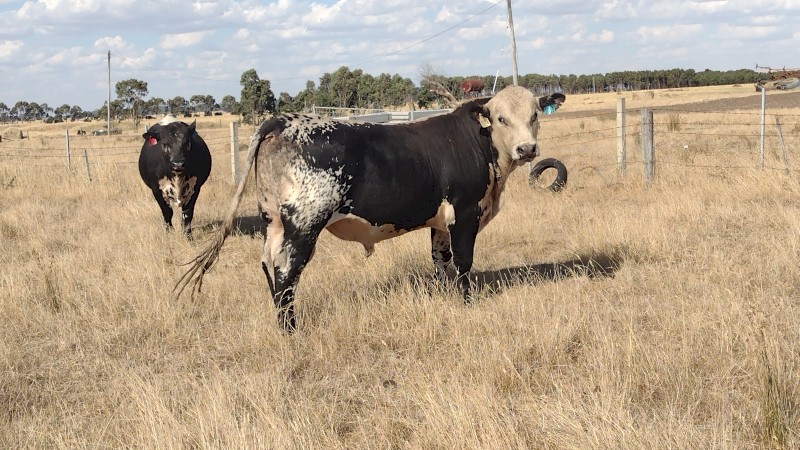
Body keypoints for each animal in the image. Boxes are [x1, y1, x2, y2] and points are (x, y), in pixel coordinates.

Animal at [175, 85, 566, 332]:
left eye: (535, 114)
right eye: (500, 118)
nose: (527, 150)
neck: (480, 146)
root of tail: (283, 120)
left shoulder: (440, 223)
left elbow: (442, 262)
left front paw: (446, 298)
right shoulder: (466, 214)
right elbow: (464, 263)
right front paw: (467, 303)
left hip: (274, 223)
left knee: (269, 265)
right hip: (303, 226)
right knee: (287, 271)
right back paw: (290, 330)